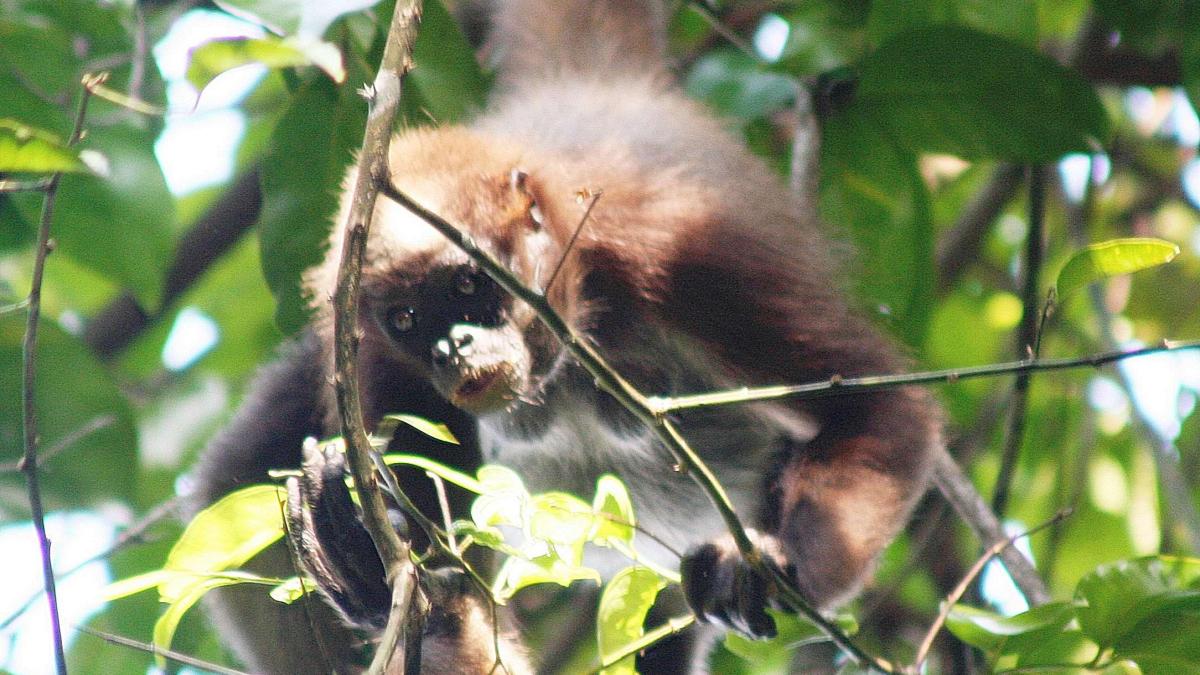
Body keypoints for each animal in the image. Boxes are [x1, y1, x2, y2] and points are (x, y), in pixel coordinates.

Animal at [184, 0, 941, 672]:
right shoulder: (375, 358)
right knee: (240, 463)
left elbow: (880, 405)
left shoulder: (689, 259)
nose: (452, 348)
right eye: (407, 320)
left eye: (468, 286)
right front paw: (375, 577)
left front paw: (777, 572)